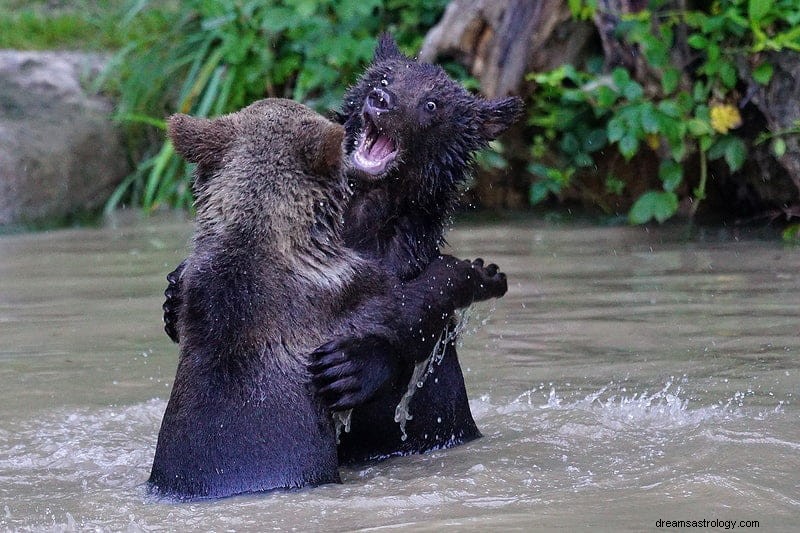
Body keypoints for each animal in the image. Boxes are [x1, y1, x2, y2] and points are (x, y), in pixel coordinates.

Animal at [164, 35, 524, 464]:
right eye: (383, 77)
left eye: (432, 104)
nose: (382, 100)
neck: (361, 215)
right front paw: (172, 294)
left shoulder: (390, 264)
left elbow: (407, 331)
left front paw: (349, 368)